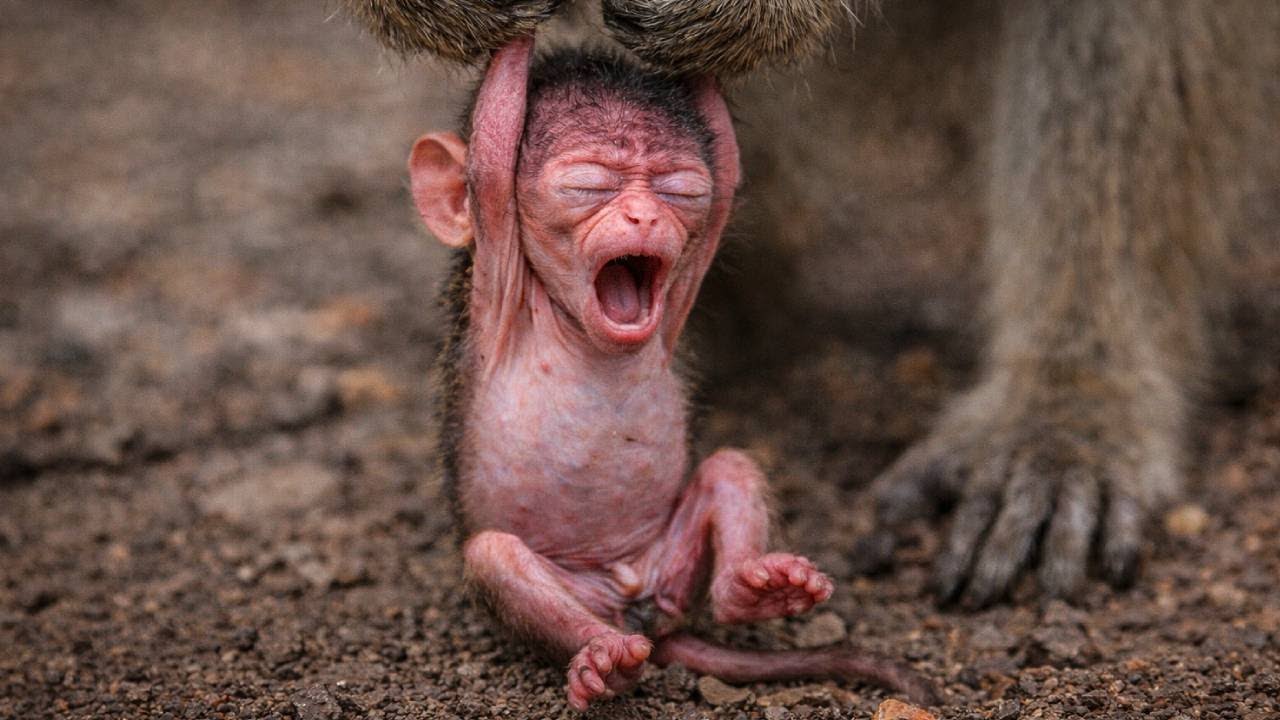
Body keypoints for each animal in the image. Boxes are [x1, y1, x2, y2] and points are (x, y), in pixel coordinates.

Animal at [408, 38, 939, 710]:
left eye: (679, 191)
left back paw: (752, 590)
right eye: (589, 185)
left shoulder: (696, 249)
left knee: (730, 466)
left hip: (673, 571)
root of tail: (637, 607)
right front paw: (518, 33)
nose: (644, 216)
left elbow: (729, 167)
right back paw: (604, 656)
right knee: (494, 557)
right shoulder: (496, 260)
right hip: (572, 589)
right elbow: (492, 151)